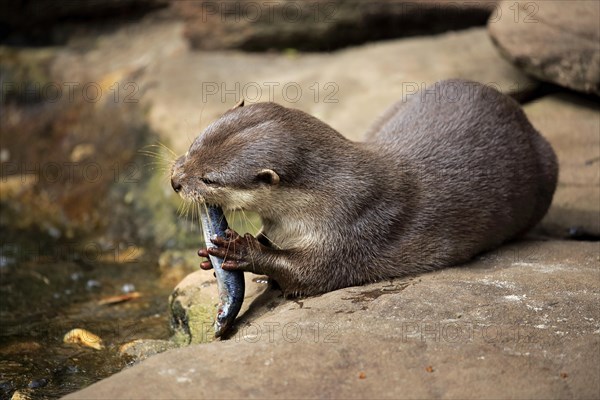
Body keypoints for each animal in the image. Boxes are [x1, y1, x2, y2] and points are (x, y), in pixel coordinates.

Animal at [170, 79, 556, 296]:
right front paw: (210, 257)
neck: (323, 199)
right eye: (192, 146)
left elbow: (308, 276)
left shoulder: (354, 226)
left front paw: (239, 249)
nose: (175, 181)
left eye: (210, 179)